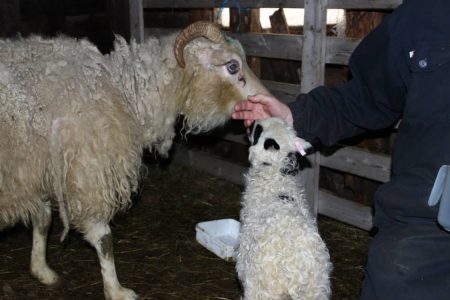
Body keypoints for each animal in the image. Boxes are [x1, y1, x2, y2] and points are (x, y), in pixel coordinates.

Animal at [0, 21, 268, 300]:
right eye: (232, 66)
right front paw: (116, 290)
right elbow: (103, 238)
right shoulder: (89, 175)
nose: (266, 101)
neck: (123, 91)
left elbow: (42, 220)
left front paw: (41, 269)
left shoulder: (36, 172)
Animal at [237, 117, 332, 300]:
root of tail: (296, 274)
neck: (276, 177)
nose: (251, 123)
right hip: (316, 291)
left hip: (263, 290)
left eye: (258, 130)